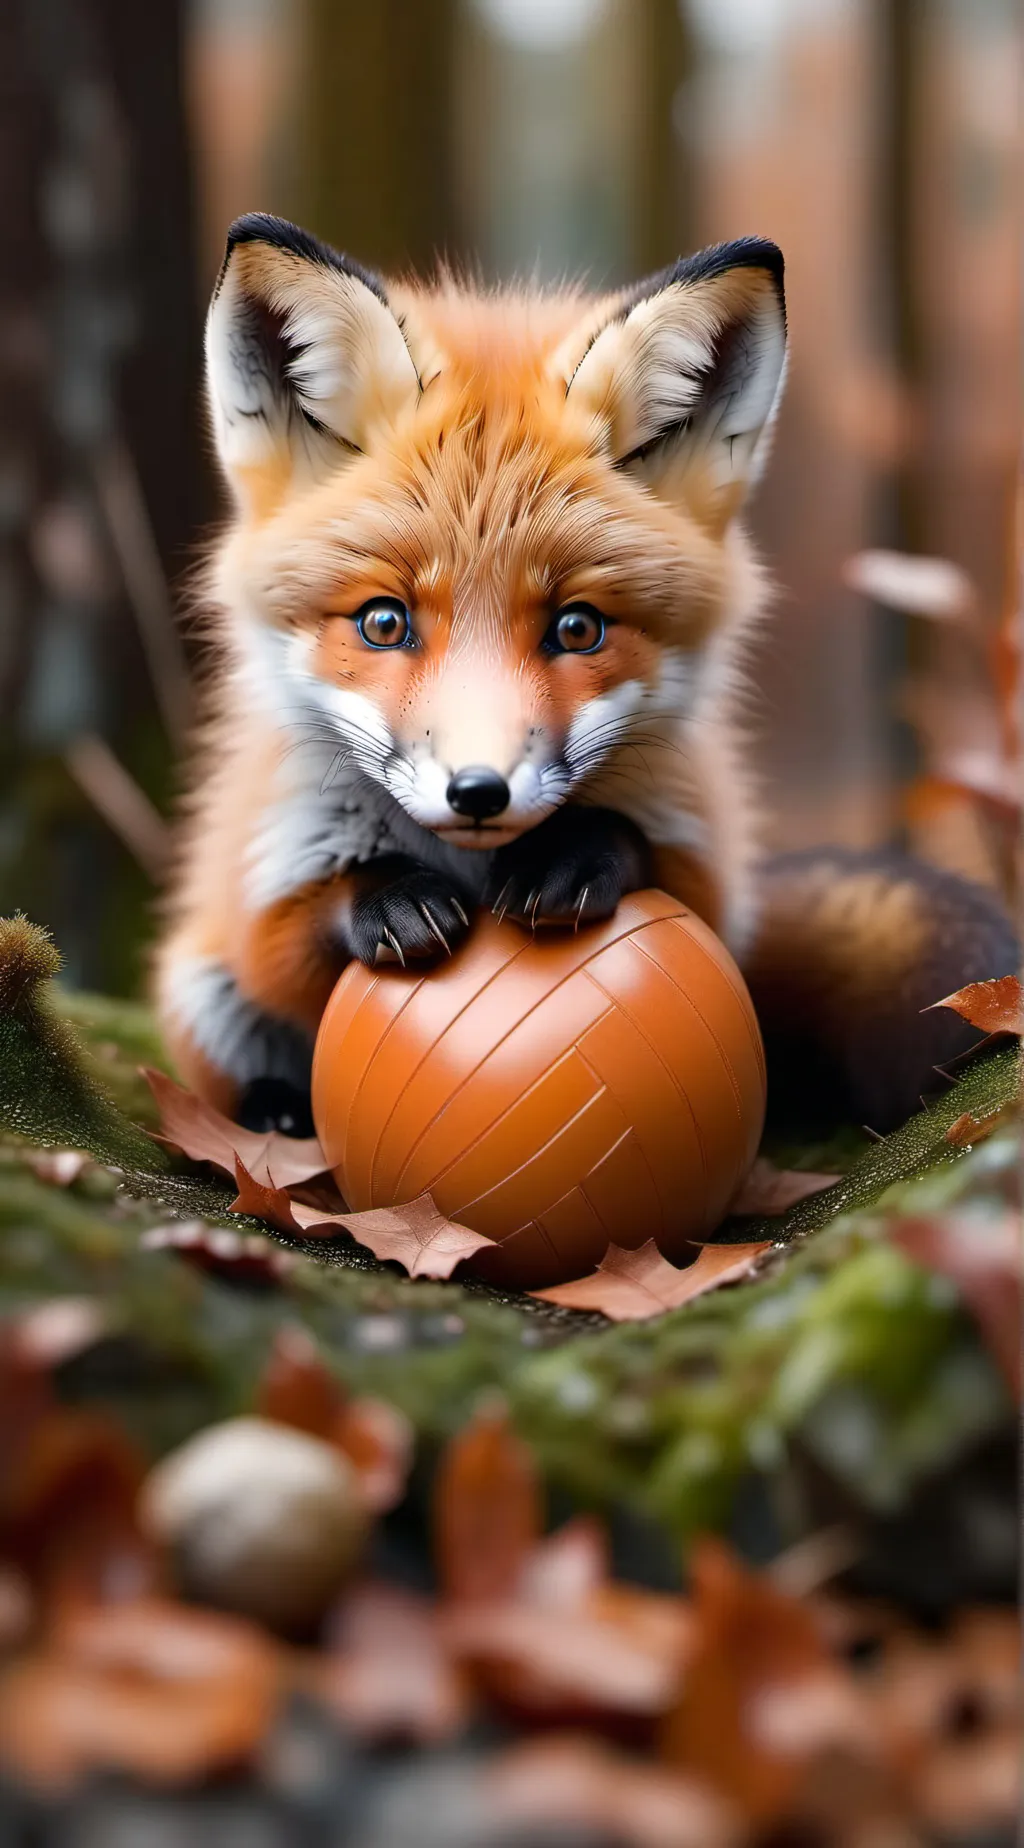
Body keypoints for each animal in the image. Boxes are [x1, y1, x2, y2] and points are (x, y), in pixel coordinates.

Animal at [154, 213, 1017, 1141]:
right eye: (384, 623)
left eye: (578, 627)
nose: (478, 791)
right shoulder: (267, 867)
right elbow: (290, 938)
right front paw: (390, 897)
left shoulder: (706, 864)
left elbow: (649, 855)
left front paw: (570, 855)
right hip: (199, 988)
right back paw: (278, 1115)